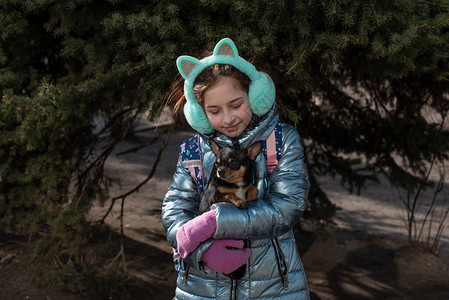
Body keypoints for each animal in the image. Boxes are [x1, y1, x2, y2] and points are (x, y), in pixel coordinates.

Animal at [197, 139, 262, 280]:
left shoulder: (247, 186)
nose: (219, 171)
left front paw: (251, 197)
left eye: (233, 163)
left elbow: (253, 187)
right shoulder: (215, 198)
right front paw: (240, 201)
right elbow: (230, 194)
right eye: (217, 164)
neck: (235, 184)